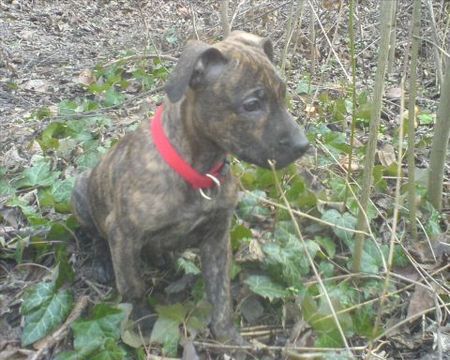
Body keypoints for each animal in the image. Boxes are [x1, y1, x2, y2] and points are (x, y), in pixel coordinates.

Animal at [71, 32, 310, 344]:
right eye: (251, 105)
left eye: (283, 93)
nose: (303, 145)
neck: (200, 169)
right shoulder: (123, 235)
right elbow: (133, 287)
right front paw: (144, 321)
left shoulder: (218, 239)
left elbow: (221, 293)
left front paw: (227, 336)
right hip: (81, 190)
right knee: (96, 235)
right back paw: (102, 261)